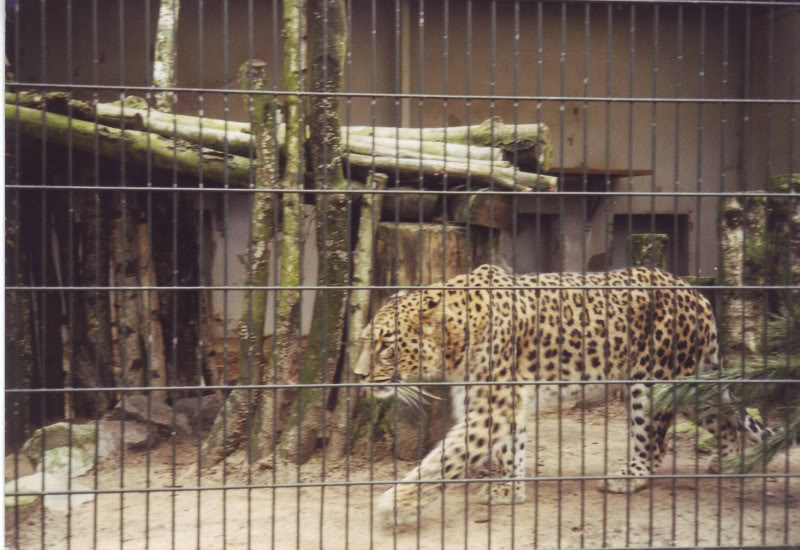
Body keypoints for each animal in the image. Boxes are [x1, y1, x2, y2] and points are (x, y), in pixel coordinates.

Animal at [352, 264, 775, 524]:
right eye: (366, 341)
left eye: (386, 344)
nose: (357, 376)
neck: (455, 337)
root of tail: (696, 293)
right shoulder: (506, 405)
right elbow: (510, 451)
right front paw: (510, 489)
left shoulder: (493, 409)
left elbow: (443, 460)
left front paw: (396, 503)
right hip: (689, 384)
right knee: (726, 421)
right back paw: (730, 464)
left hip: (651, 383)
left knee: (654, 444)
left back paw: (628, 478)